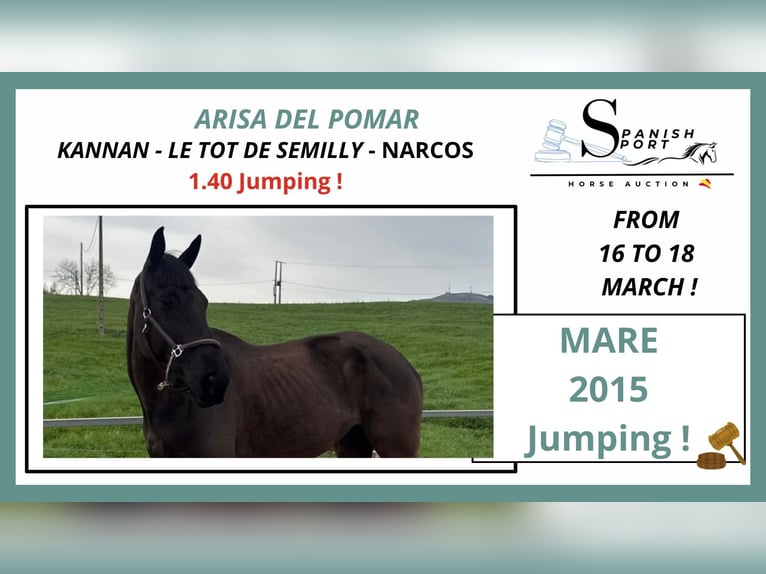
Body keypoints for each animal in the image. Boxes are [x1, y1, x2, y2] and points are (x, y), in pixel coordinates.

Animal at [126, 227, 423, 457]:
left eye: (204, 302)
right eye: (166, 300)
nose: (215, 381)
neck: (173, 405)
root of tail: (404, 363)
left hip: (396, 448)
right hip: (353, 444)